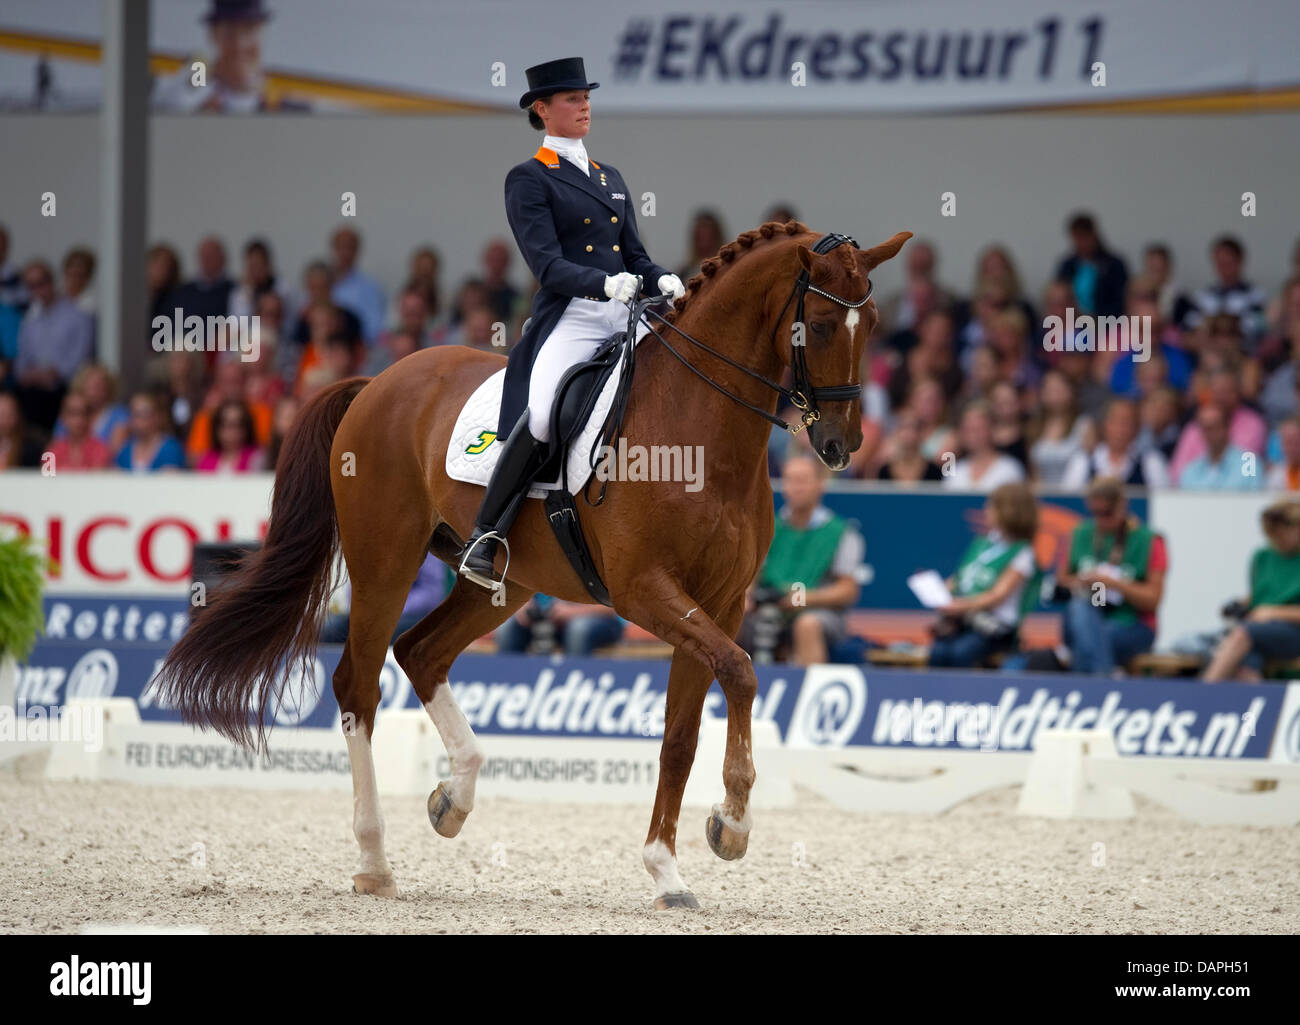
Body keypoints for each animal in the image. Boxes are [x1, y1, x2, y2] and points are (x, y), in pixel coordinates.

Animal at [153, 220, 911, 910]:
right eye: (819, 324)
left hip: (504, 583)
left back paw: (453, 798)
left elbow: (683, 731)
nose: (842, 443)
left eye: (872, 322)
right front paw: (731, 825)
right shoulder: (645, 591)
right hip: (384, 562)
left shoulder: (718, 602)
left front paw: (670, 868)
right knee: (358, 685)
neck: (701, 430)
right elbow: (744, 670)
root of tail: (377, 381)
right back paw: (374, 860)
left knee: (420, 650)